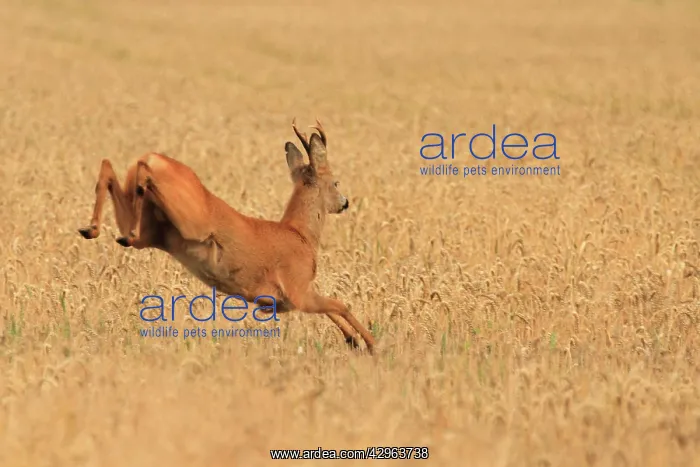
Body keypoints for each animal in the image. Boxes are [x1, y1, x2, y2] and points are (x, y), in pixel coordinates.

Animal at [77, 118, 376, 354]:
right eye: (335, 181)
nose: (345, 202)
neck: (300, 234)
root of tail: (153, 159)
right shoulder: (297, 289)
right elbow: (341, 304)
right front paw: (371, 344)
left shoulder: (291, 298)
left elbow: (334, 308)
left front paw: (353, 340)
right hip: (192, 221)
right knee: (135, 172)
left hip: (150, 231)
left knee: (110, 173)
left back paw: (93, 229)